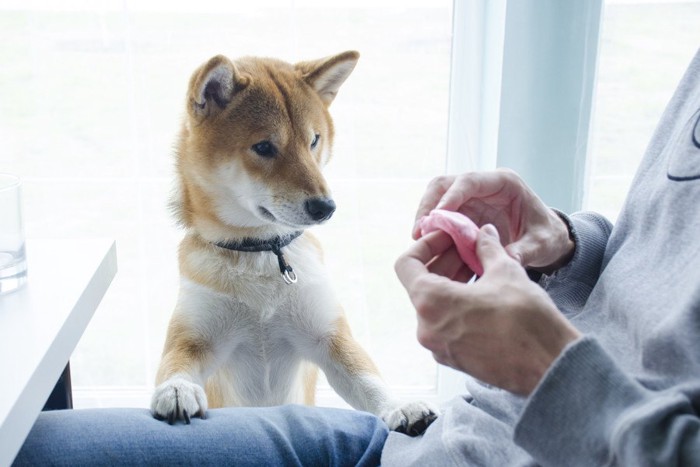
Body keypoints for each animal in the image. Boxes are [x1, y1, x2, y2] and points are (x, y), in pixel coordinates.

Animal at [150, 49, 438, 436]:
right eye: (263, 147)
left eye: (313, 140)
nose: (326, 207)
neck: (261, 251)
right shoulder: (193, 337)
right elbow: (175, 363)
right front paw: (177, 389)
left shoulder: (329, 338)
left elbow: (368, 379)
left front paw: (400, 406)